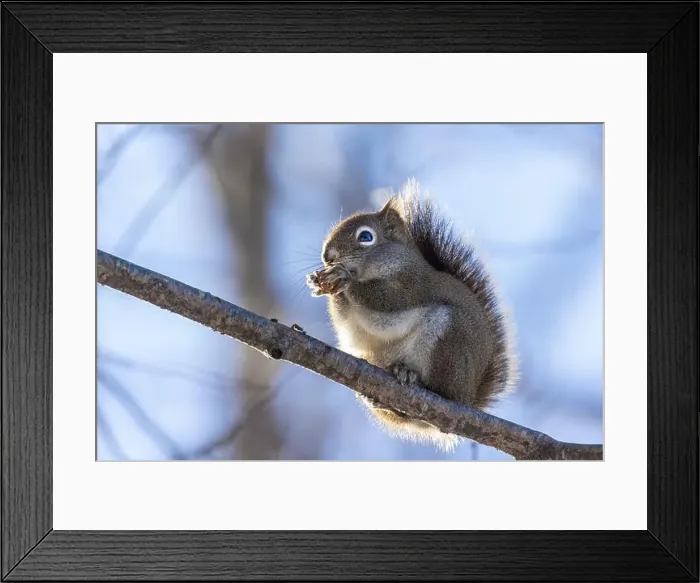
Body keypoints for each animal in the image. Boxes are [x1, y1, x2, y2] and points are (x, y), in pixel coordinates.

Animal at [306, 179, 518, 451]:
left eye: (366, 237)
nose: (328, 256)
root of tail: (468, 397)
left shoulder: (415, 285)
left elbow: (388, 299)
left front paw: (344, 279)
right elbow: (347, 324)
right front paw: (322, 283)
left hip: (451, 339)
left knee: (442, 389)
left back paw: (413, 377)